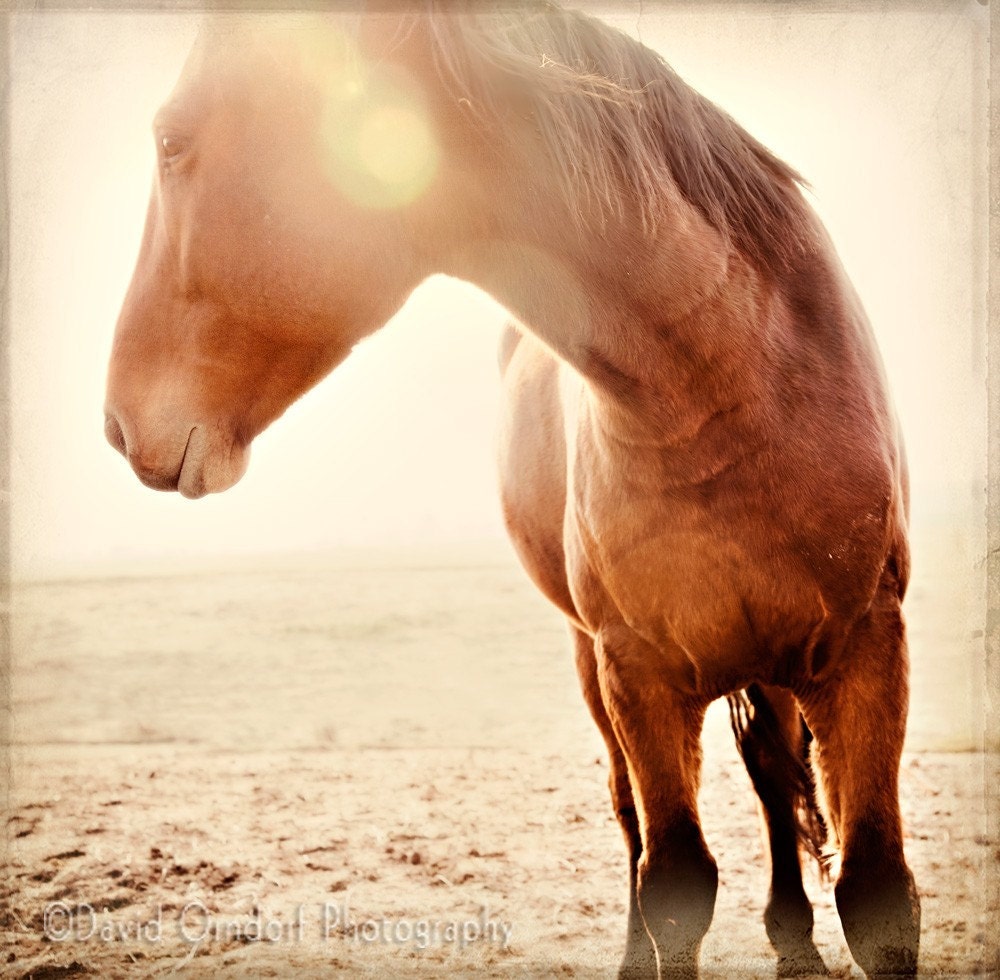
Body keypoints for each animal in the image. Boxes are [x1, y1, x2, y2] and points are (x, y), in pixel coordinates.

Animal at [103, 6, 919, 978]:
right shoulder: (635, 673)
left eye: (169, 139)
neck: (732, 385)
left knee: (766, 775)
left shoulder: (867, 648)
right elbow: (675, 883)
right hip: (595, 666)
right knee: (635, 815)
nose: (116, 425)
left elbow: (875, 892)